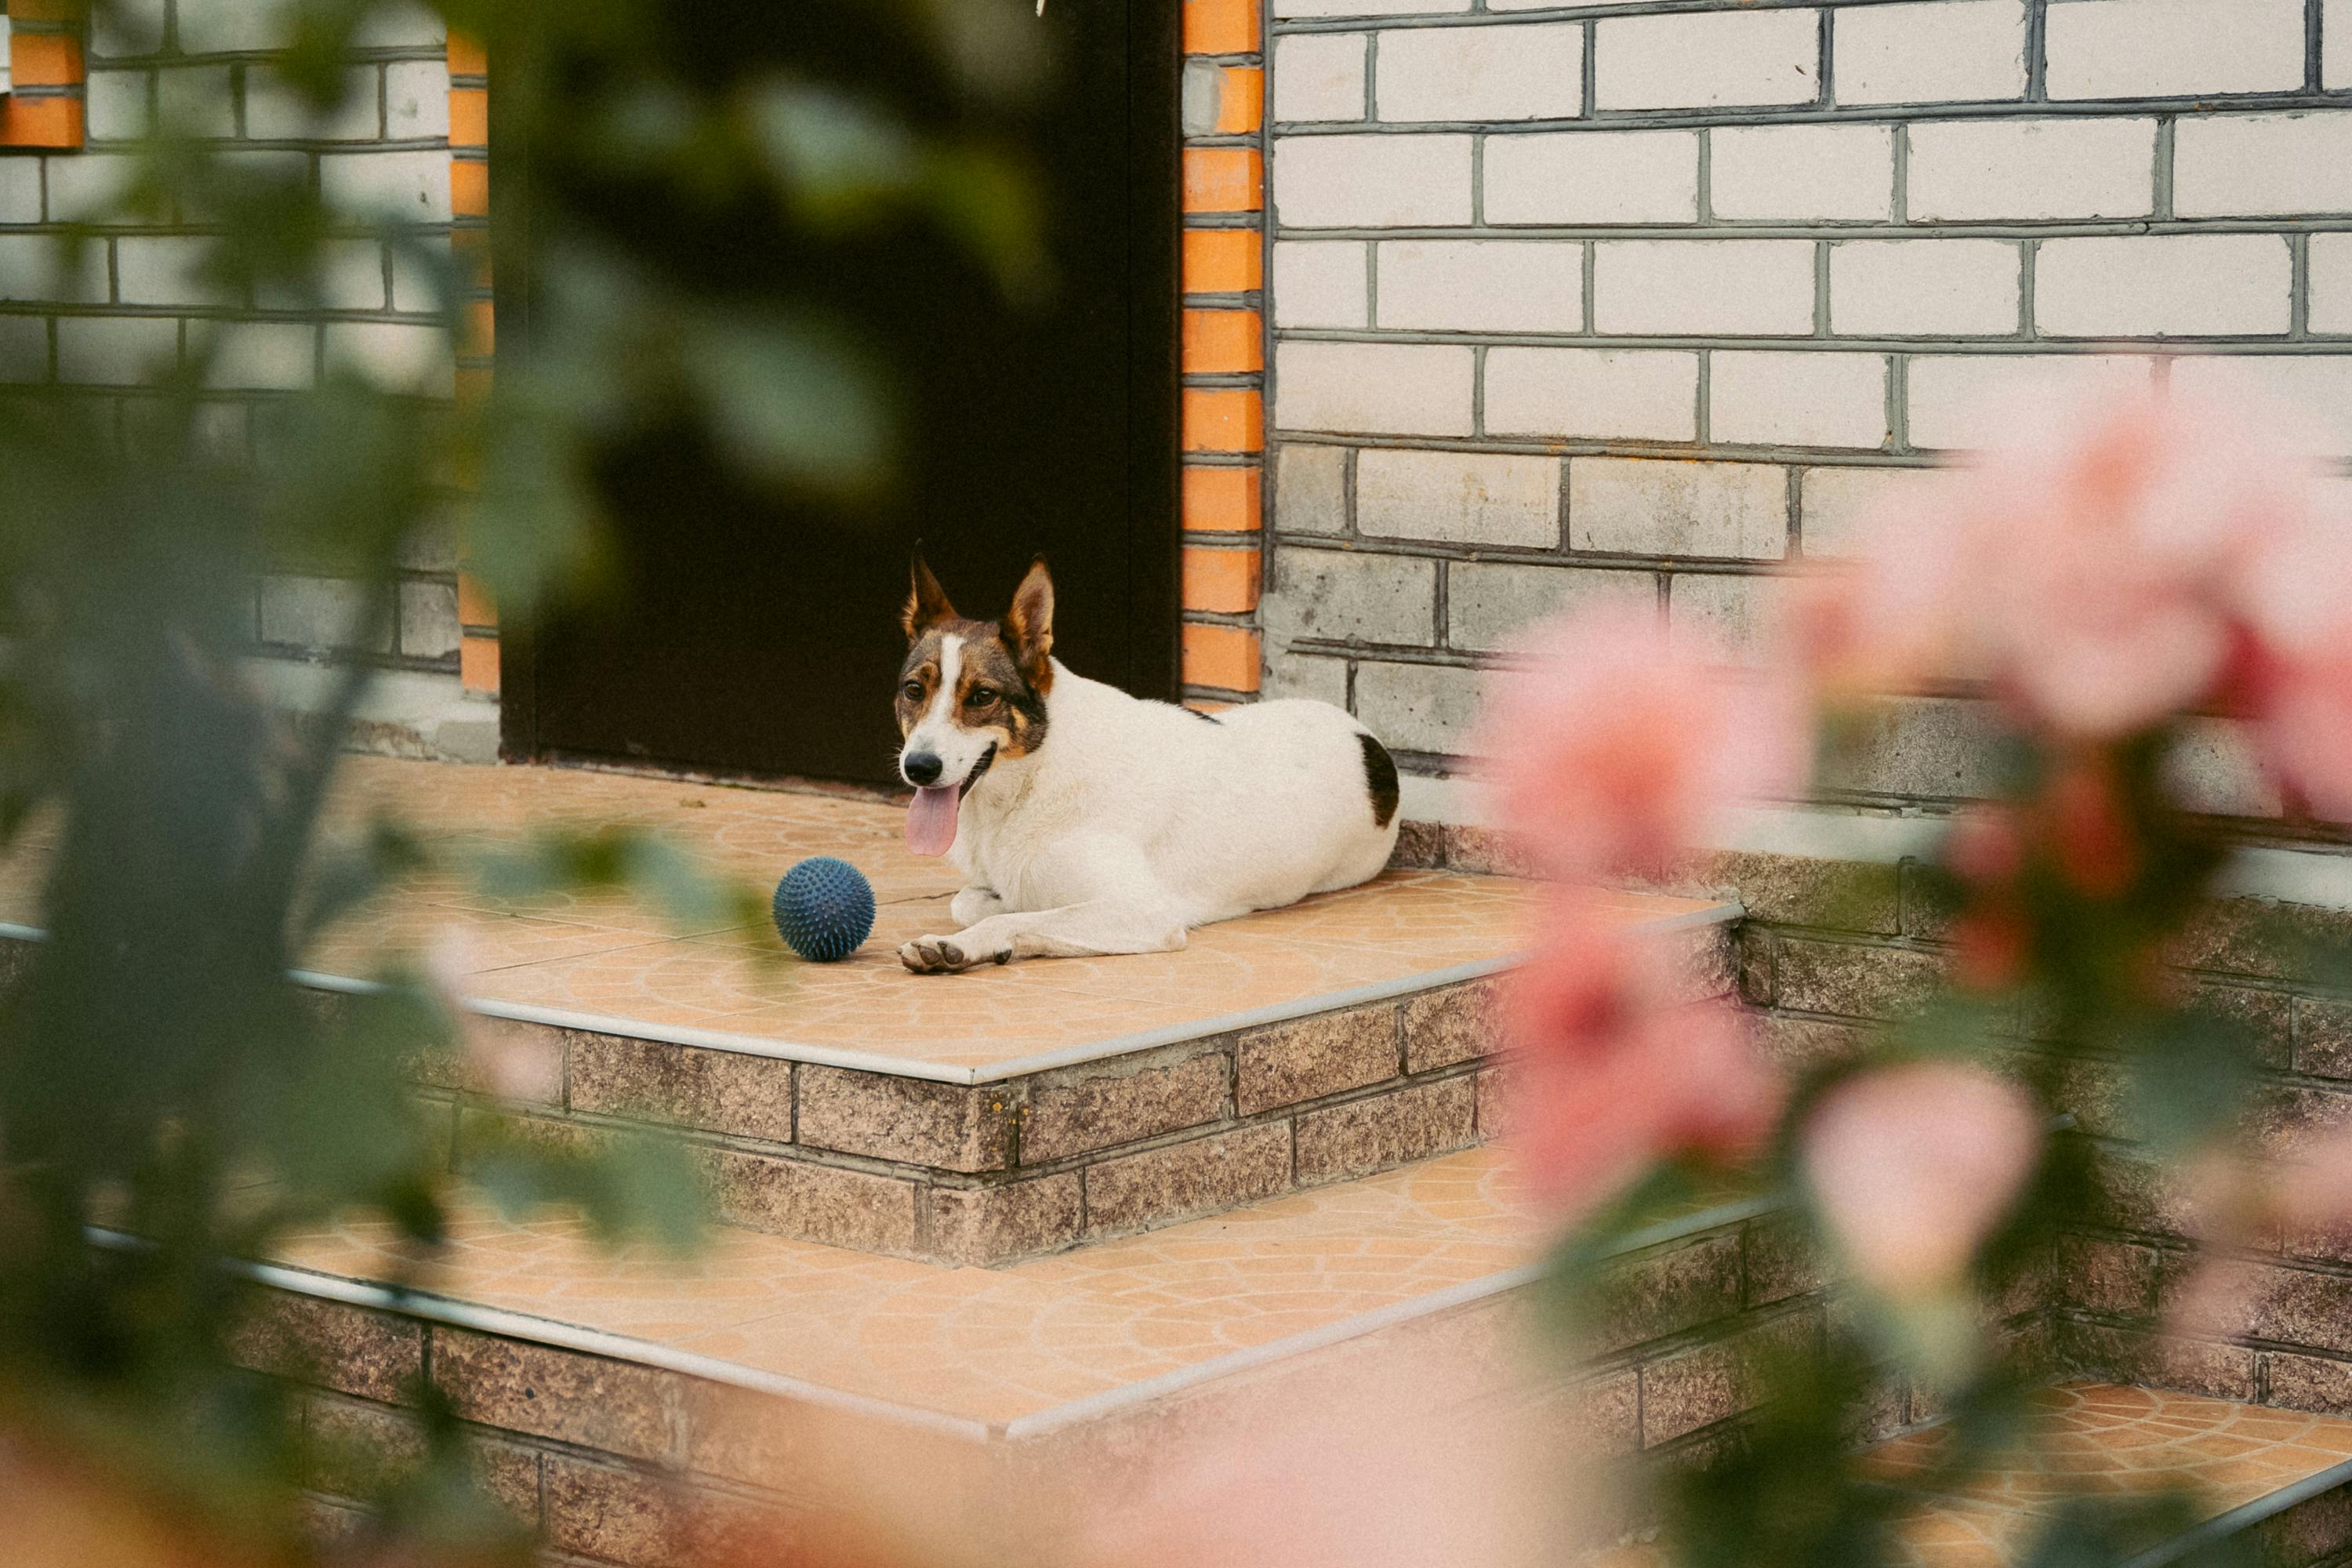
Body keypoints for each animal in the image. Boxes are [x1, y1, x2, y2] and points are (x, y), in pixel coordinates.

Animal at [884, 550, 1392, 968]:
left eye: (982, 696)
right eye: (914, 690)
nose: (920, 768)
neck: (1035, 772)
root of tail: (1367, 740)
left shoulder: (1145, 913)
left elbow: (1008, 918)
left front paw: (964, 944)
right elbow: (968, 902)